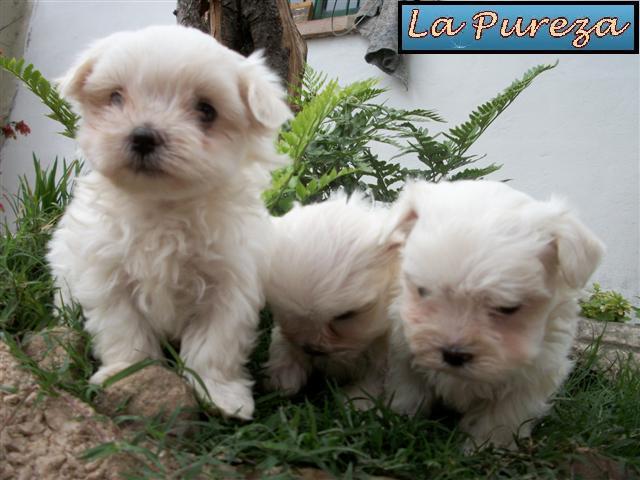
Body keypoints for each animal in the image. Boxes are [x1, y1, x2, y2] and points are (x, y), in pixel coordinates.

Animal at [46, 24, 292, 418]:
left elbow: (216, 344)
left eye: (206, 110)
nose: (143, 135)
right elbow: (123, 329)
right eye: (116, 97)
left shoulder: (230, 283)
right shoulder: (107, 276)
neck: (162, 206)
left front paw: (220, 395)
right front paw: (128, 373)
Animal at [262, 193, 398, 404]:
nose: (312, 348)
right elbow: (281, 342)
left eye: (345, 316)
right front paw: (283, 378)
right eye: (286, 313)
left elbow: (374, 380)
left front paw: (354, 401)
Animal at [384, 180, 604, 450]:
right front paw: (398, 421)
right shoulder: (403, 351)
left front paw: (484, 448)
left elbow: (500, 417)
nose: (453, 354)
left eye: (507, 308)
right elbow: (407, 390)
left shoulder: (532, 375)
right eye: (423, 291)